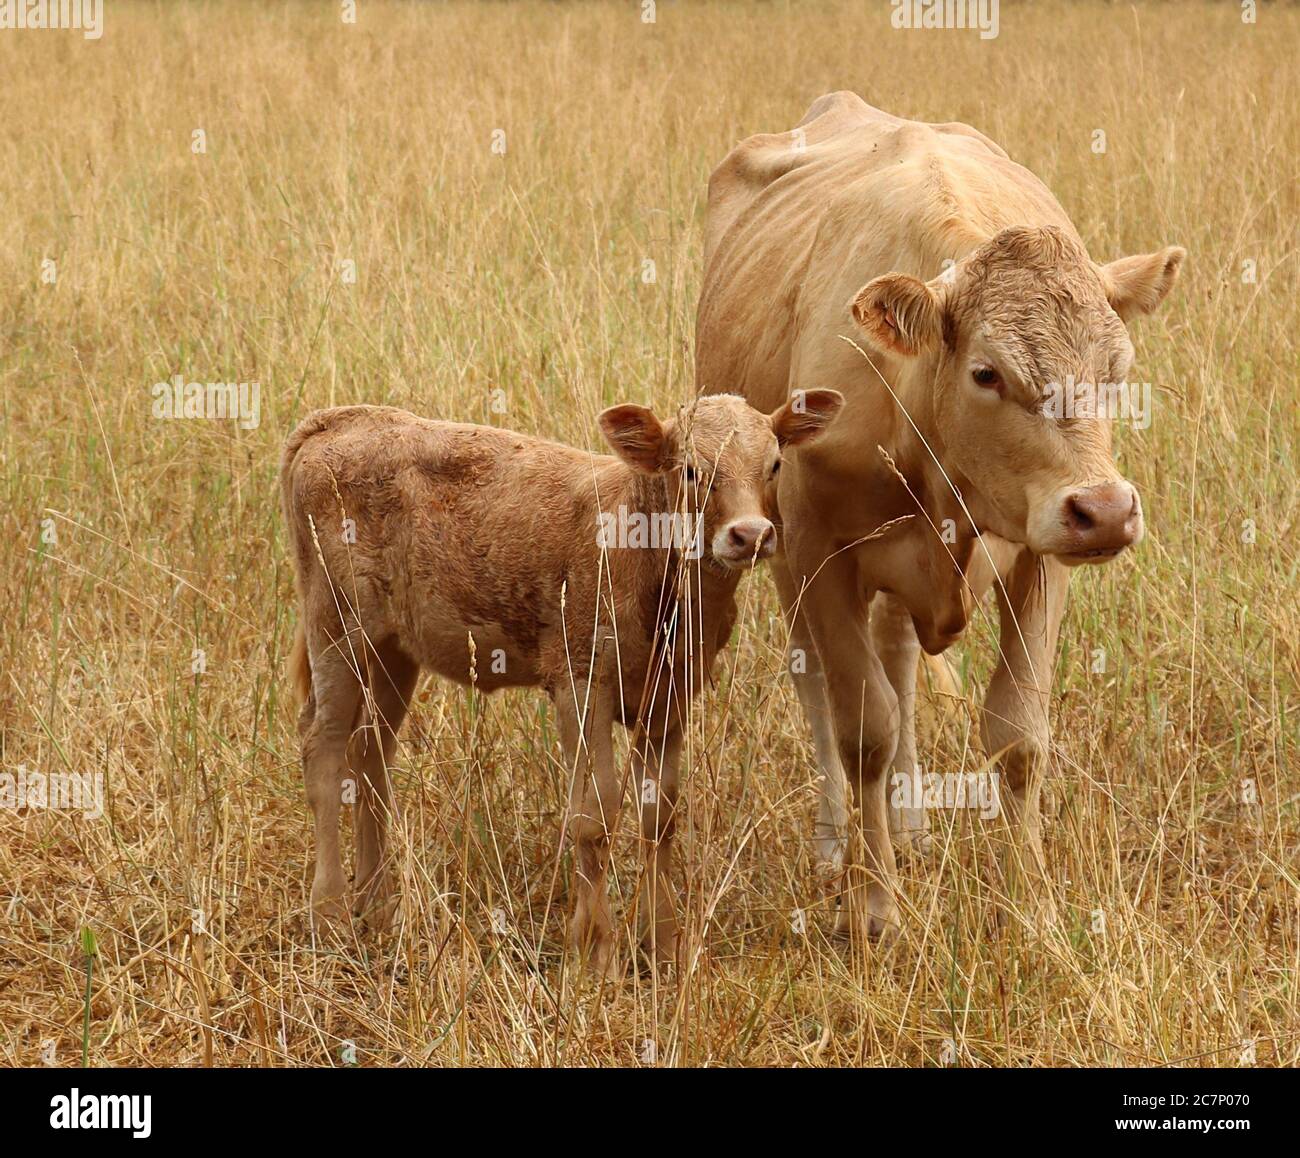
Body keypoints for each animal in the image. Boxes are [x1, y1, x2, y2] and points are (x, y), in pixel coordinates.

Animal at [279, 395, 837, 972]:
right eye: (690, 469)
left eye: (775, 464)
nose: (751, 534)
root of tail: (340, 419)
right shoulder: (580, 682)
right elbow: (595, 813)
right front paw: (595, 951)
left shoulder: (671, 697)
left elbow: (659, 815)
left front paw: (663, 944)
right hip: (335, 626)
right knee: (324, 750)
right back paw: (330, 915)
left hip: (393, 648)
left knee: (371, 752)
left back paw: (377, 909)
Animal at [696, 90, 1185, 940]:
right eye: (987, 372)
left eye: (1117, 368)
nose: (1105, 511)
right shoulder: (820, 553)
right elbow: (863, 726)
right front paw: (874, 904)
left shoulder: (1040, 560)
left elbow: (1017, 736)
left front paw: (1031, 905)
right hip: (779, 556)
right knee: (815, 680)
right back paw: (835, 843)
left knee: (899, 659)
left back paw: (911, 823)